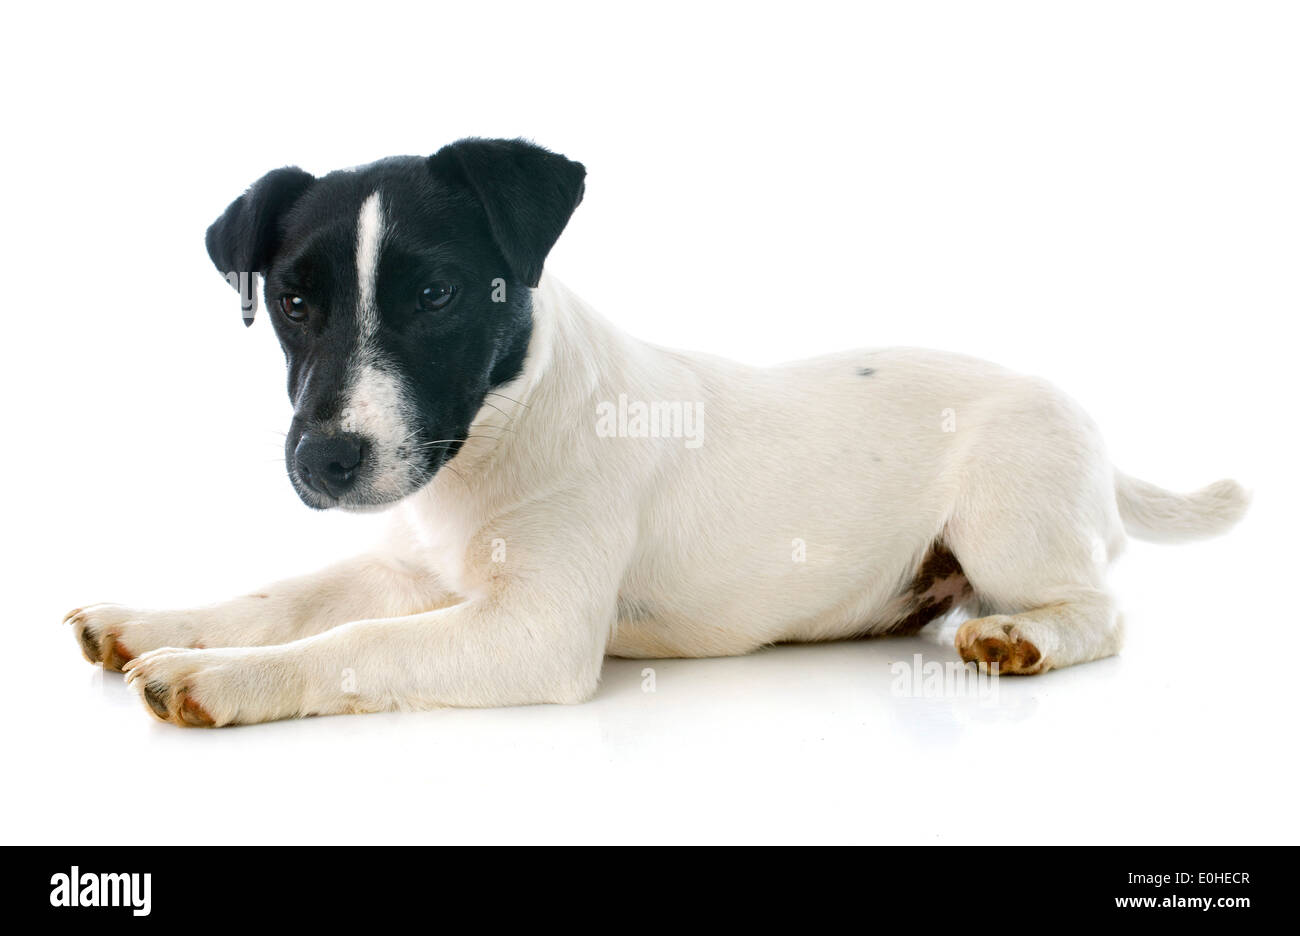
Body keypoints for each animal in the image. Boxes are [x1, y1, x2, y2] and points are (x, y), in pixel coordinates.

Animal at [68, 139, 1248, 728]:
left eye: (436, 294)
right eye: (293, 301)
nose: (323, 461)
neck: (498, 431)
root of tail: (1093, 428)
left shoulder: (533, 631)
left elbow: (355, 646)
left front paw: (223, 679)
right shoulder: (408, 568)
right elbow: (288, 597)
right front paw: (152, 621)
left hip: (1012, 520)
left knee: (1100, 608)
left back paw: (1021, 638)